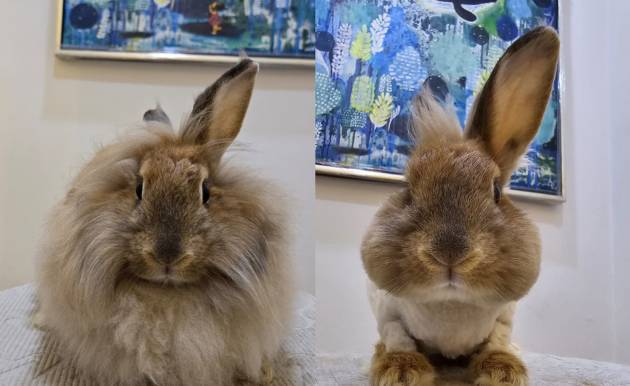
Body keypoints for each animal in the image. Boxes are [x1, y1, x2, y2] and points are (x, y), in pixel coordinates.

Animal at [362, 27, 560, 386]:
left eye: (496, 191)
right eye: (408, 189)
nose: (450, 252)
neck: (451, 302)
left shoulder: (505, 316)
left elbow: (498, 340)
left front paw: (503, 371)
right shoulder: (388, 312)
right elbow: (398, 337)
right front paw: (402, 371)